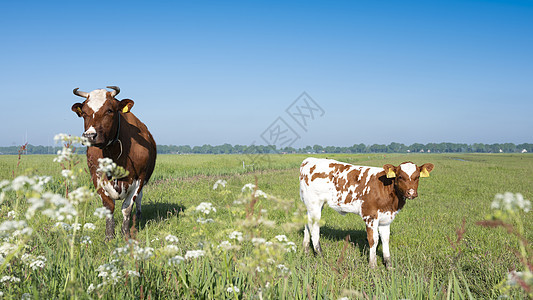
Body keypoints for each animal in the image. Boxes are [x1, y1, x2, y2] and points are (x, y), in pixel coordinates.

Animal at [70, 85, 156, 240]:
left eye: (109, 110)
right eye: (84, 112)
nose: (89, 136)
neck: (113, 153)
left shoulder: (139, 178)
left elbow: (127, 207)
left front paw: (125, 234)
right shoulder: (97, 178)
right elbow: (108, 207)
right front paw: (109, 236)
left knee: (139, 199)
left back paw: (138, 217)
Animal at [300, 158, 432, 268]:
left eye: (417, 177)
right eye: (400, 177)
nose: (411, 193)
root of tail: (309, 160)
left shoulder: (386, 218)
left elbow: (385, 239)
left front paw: (389, 265)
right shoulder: (370, 216)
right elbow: (374, 239)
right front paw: (372, 266)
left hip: (311, 206)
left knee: (307, 223)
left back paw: (306, 250)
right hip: (314, 204)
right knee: (315, 228)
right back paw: (320, 256)